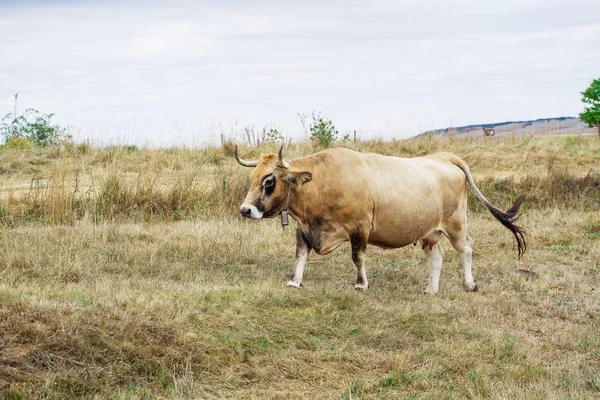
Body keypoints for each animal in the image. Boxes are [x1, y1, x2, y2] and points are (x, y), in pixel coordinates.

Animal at [234, 145, 524, 292]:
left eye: (269, 181)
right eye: (252, 178)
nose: (245, 210)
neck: (323, 182)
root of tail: (443, 157)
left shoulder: (360, 228)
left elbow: (357, 257)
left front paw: (361, 284)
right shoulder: (304, 228)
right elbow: (300, 255)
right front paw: (295, 281)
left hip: (456, 224)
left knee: (466, 249)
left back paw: (469, 283)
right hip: (429, 232)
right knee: (437, 256)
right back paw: (431, 289)